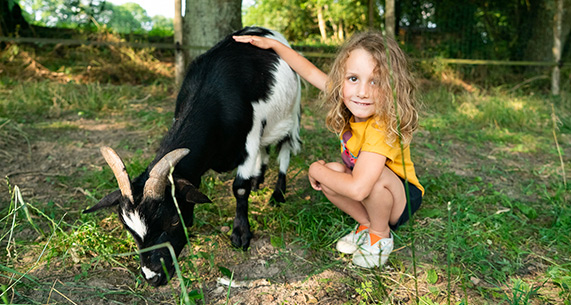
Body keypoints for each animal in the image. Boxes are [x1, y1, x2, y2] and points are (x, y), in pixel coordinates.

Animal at [84, 25, 304, 284]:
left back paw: (278, 194)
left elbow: (239, 188)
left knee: (284, 150)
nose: (153, 277)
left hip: (290, 115)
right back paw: (259, 180)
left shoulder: (249, 138)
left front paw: (240, 234)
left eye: (173, 220)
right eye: (129, 230)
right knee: (265, 149)